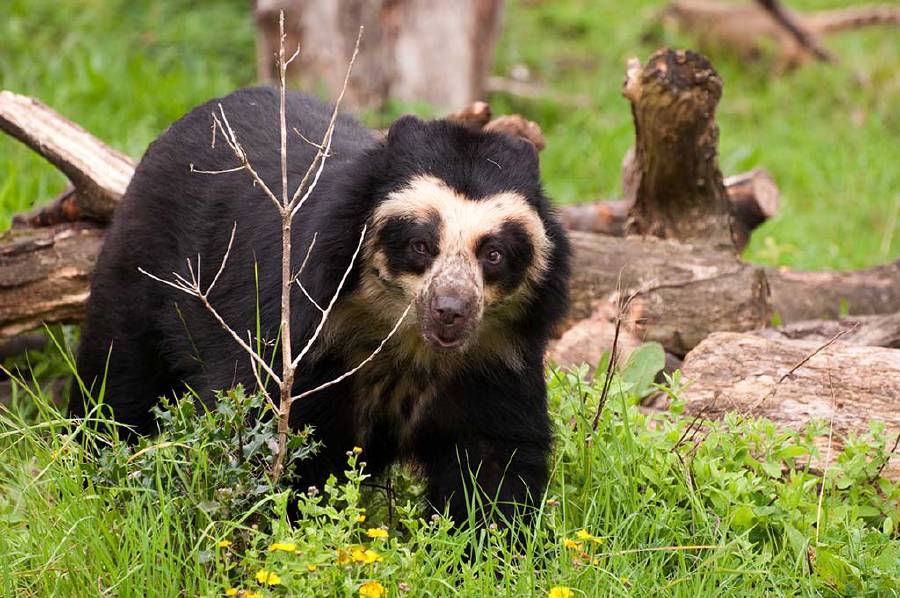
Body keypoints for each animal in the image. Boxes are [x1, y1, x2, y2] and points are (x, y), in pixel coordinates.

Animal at [70, 87, 571, 525]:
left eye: (494, 253)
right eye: (420, 244)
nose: (451, 310)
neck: (403, 337)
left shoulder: (496, 354)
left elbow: (495, 456)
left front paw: (487, 545)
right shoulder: (301, 328)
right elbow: (263, 423)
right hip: (143, 268)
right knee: (119, 376)